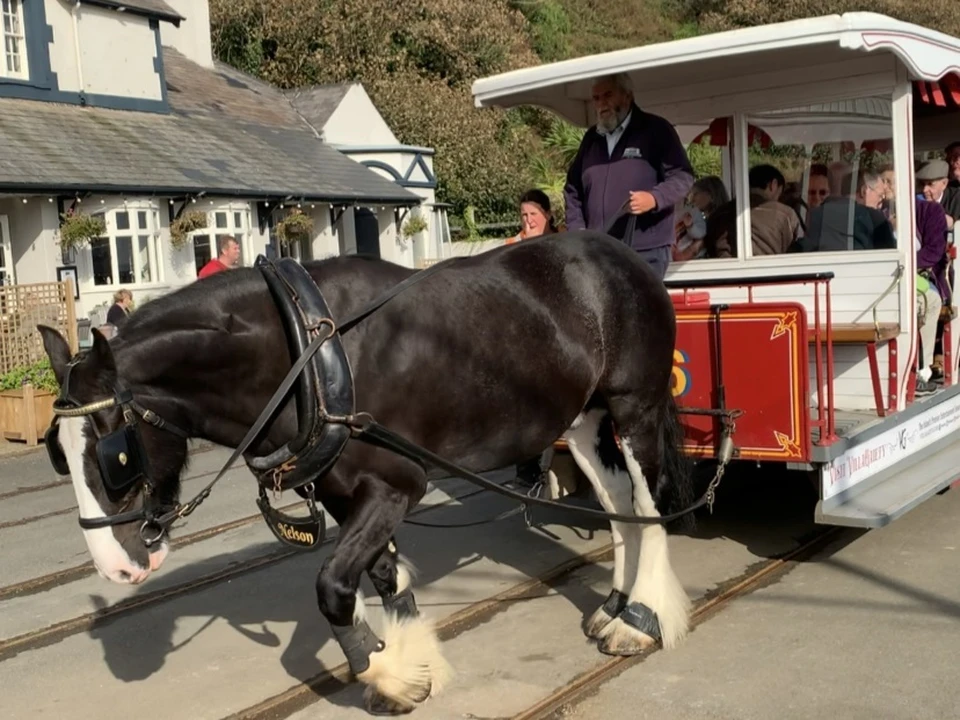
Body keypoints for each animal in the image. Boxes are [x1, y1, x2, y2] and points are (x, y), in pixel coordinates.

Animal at [37, 231, 692, 716]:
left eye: (116, 454)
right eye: (55, 452)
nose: (116, 567)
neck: (305, 354)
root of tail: (618, 254)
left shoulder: (398, 486)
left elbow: (332, 586)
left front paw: (386, 671)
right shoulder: (345, 492)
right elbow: (382, 576)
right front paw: (411, 666)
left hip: (634, 407)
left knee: (651, 506)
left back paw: (641, 621)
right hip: (582, 418)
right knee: (619, 505)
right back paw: (616, 606)